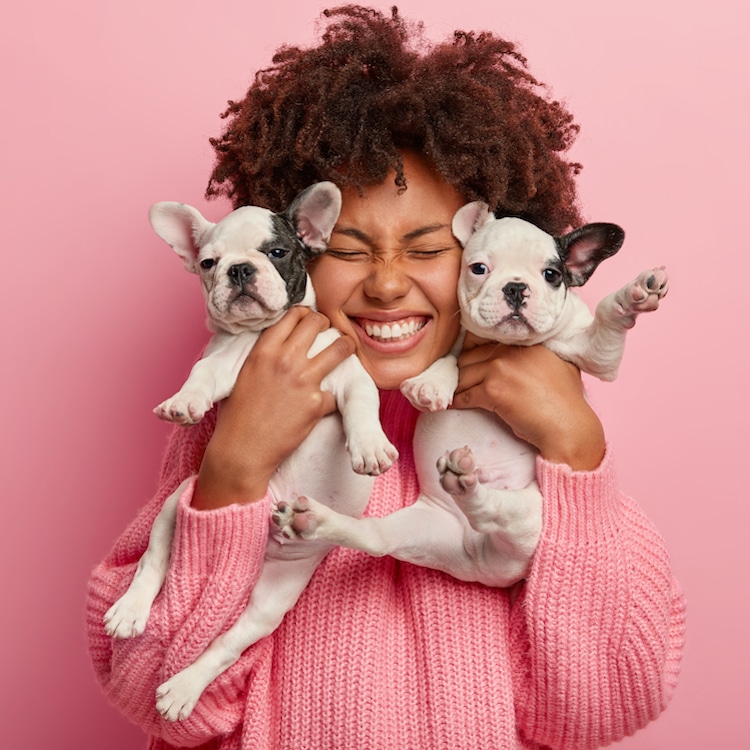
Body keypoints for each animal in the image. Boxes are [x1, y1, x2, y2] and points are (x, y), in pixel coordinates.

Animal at [106, 182, 402, 724]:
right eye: (208, 262)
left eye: (278, 251)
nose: (240, 269)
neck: (262, 333)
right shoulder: (221, 364)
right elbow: (200, 376)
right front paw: (184, 402)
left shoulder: (348, 372)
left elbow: (363, 404)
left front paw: (370, 446)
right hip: (183, 496)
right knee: (153, 561)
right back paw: (130, 614)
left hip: (271, 602)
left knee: (226, 643)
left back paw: (183, 687)